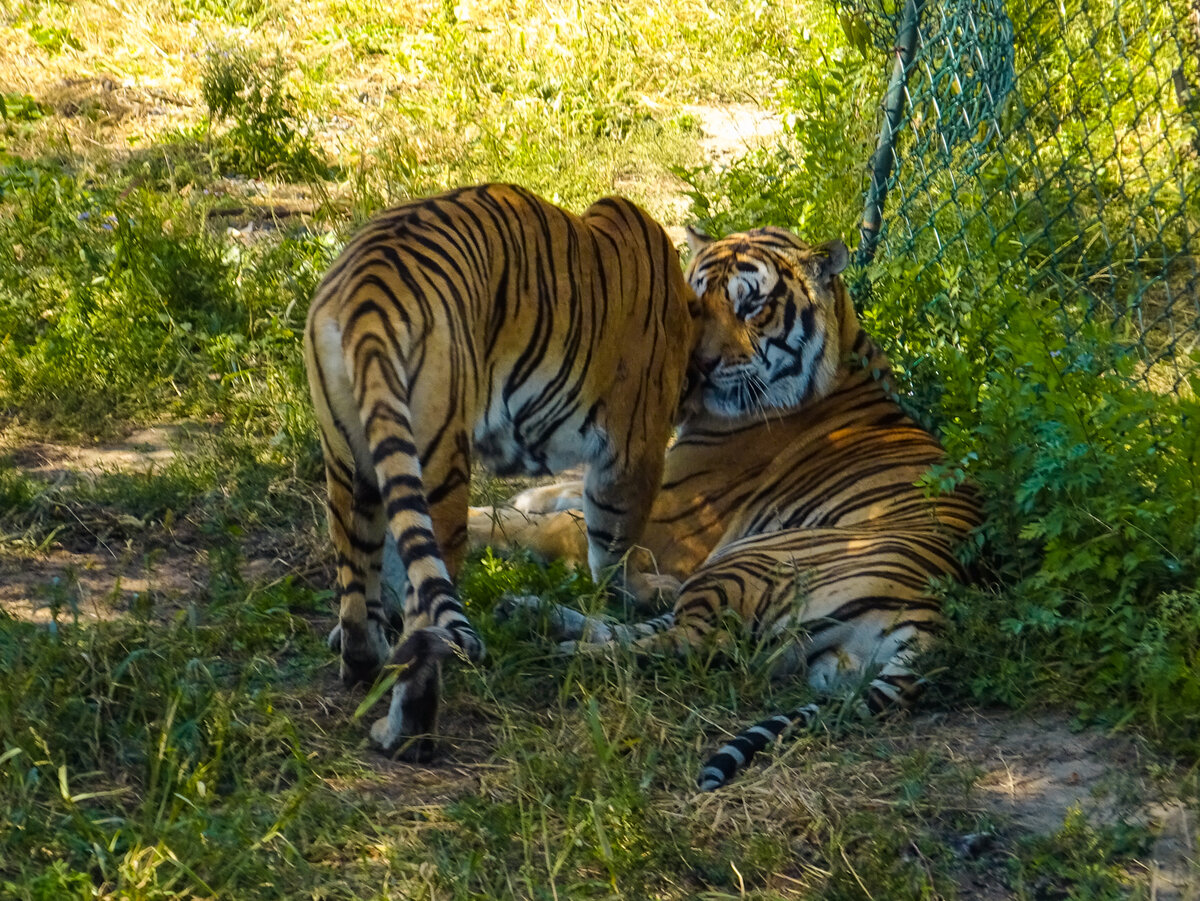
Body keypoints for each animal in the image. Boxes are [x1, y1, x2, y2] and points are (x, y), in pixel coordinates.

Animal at [303, 183, 713, 759]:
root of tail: (368, 292)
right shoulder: (633, 447)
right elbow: (614, 544)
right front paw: (642, 588)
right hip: (439, 466)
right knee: (426, 621)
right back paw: (410, 735)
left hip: (349, 461)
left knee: (362, 578)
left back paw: (365, 662)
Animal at [469, 225, 982, 789]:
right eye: (694, 303)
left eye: (752, 307)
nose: (697, 365)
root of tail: (934, 618)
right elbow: (563, 494)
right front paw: (528, 496)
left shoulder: (664, 522)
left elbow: (539, 526)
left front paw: (481, 523)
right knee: (655, 625)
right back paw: (530, 615)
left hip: (748, 560)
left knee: (687, 643)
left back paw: (559, 649)